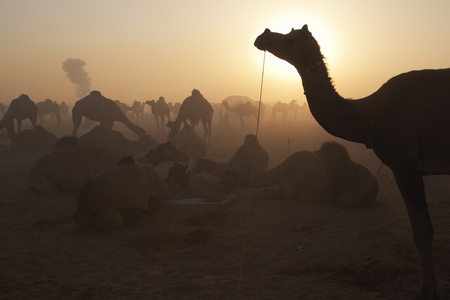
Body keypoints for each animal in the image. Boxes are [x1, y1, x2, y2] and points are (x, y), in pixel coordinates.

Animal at [220, 142, 378, 207]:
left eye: (224, 181)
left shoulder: (287, 192)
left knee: (343, 201)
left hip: (356, 189)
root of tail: (374, 182)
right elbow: (264, 191)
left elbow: (259, 195)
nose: (217, 189)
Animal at [253, 24, 450, 298]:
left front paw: (427, 291)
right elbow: (425, 228)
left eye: (291, 40)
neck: (367, 113)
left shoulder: (404, 165)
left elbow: (422, 230)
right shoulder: (412, 168)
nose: (263, 35)